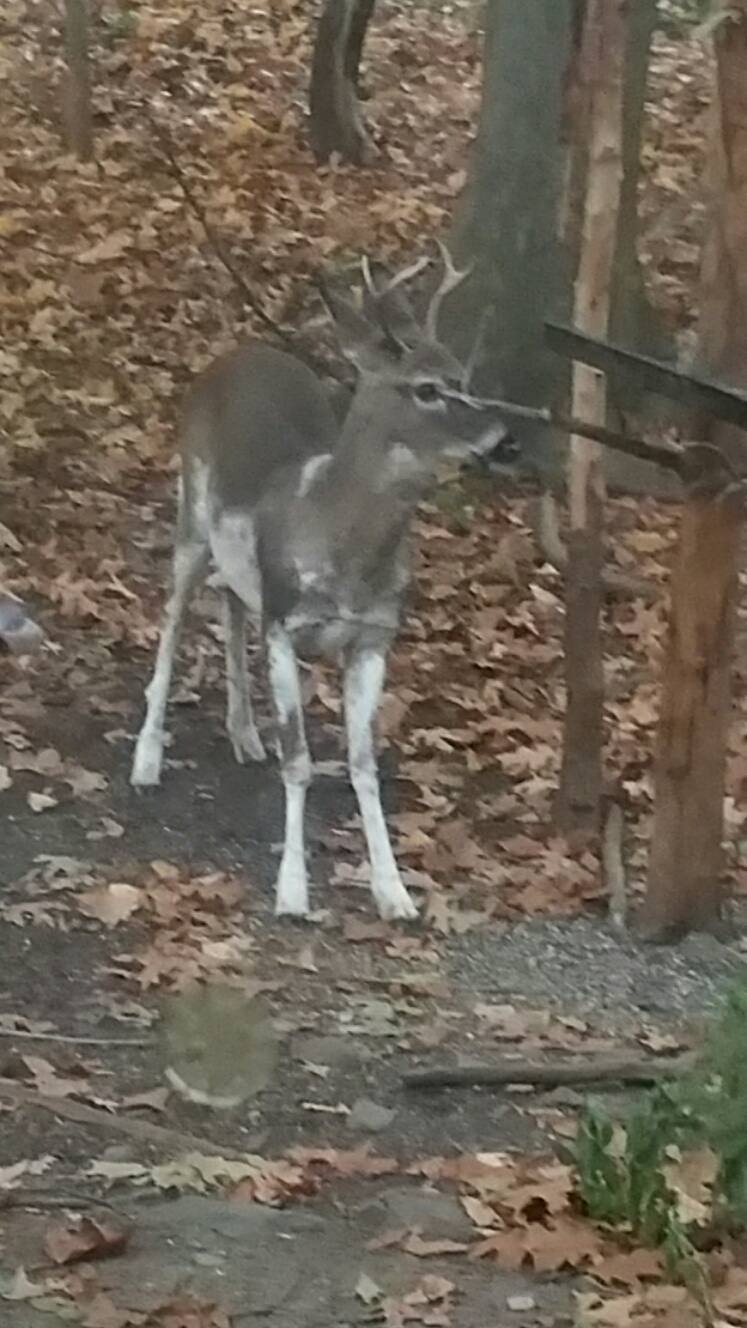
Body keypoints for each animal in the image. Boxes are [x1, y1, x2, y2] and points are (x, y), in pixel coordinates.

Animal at [130, 248, 520, 920]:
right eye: (426, 388)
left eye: (464, 378)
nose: (506, 442)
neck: (343, 551)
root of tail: (234, 355)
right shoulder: (287, 624)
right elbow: (301, 763)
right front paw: (292, 891)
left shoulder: (372, 639)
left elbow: (363, 765)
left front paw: (394, 893)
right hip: (190, 509)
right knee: (174, 614)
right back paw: (148, 757)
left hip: (238, 558)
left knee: (231, 602)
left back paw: (243, 732)